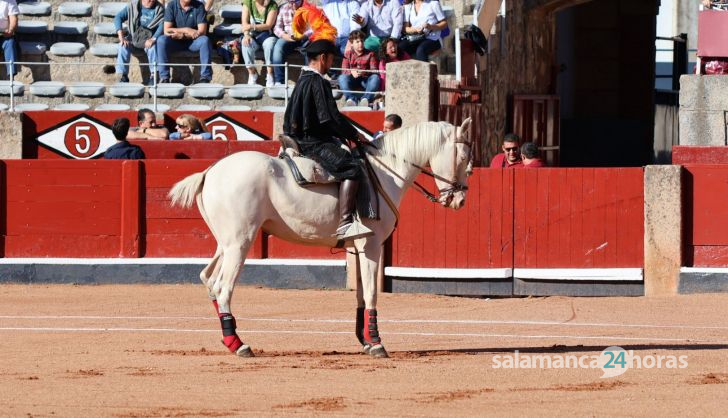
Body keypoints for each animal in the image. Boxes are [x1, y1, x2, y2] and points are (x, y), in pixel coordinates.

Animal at [173, 116, 474, 356]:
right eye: (463, 158)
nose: (459, 200)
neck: (384, 173)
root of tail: (210, 171)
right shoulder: (372, 245)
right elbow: (372, 293)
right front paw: (377, 343)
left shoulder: (359, 247)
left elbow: (361, 294)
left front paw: (365, 340)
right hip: (240, 243)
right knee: (223, 286)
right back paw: (238, 344)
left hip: (225, 244)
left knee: (208, 279)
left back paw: (229, 338)